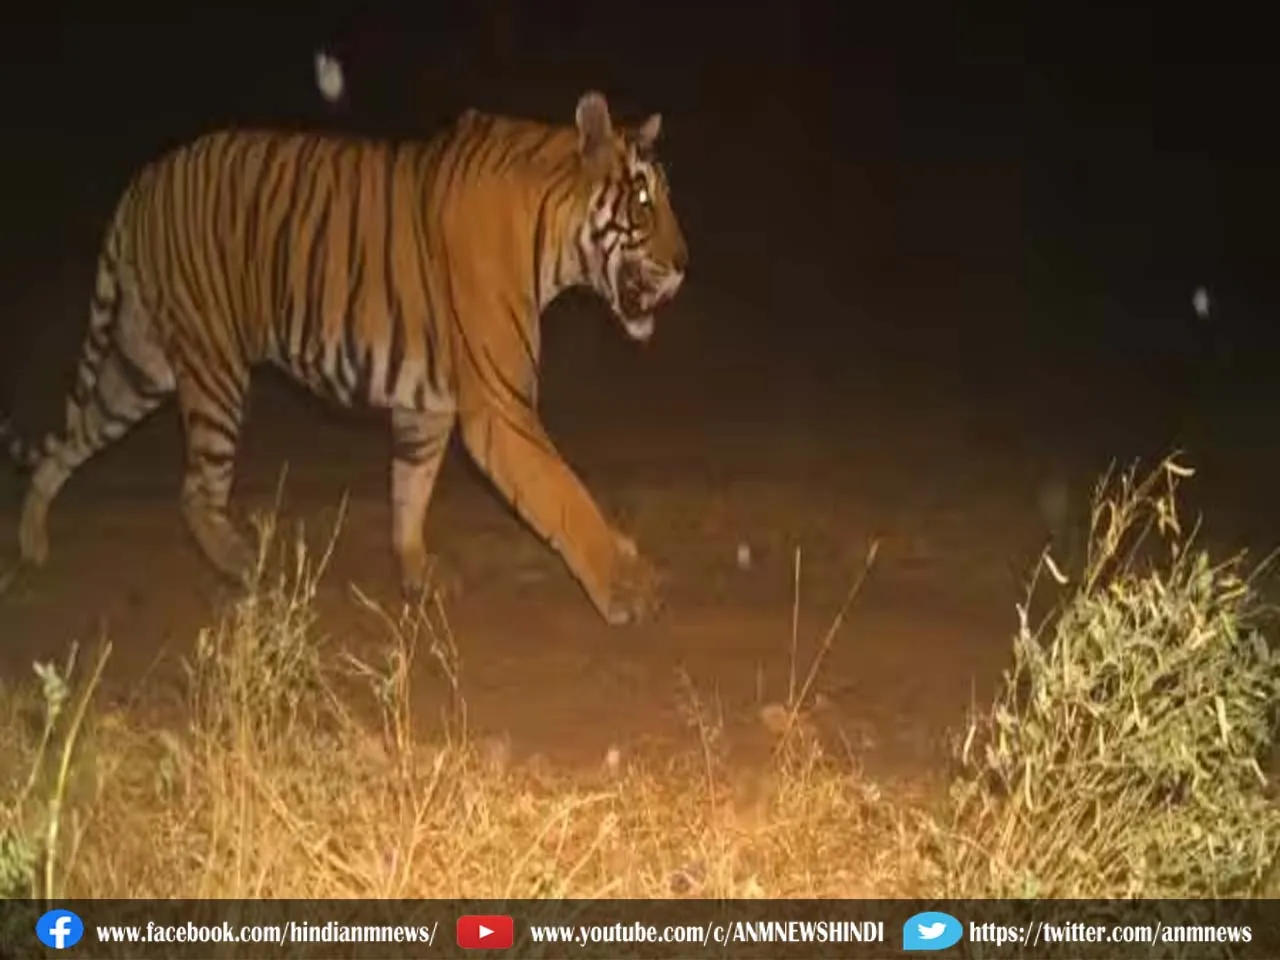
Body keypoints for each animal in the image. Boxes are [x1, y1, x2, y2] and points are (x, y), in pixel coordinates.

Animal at [0, 90, 688, 626]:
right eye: (643, 202)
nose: (685, 264)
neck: (554, 237)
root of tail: (144, 180)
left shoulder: (426, 406)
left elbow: (410, 489)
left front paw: (416, 572)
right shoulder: (501, 408)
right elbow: (568, 497)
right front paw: (623, 589)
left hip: (145, 366)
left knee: (76, 435)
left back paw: (31, 538)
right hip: (214, 366)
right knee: (194, 493)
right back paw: (250, 571)